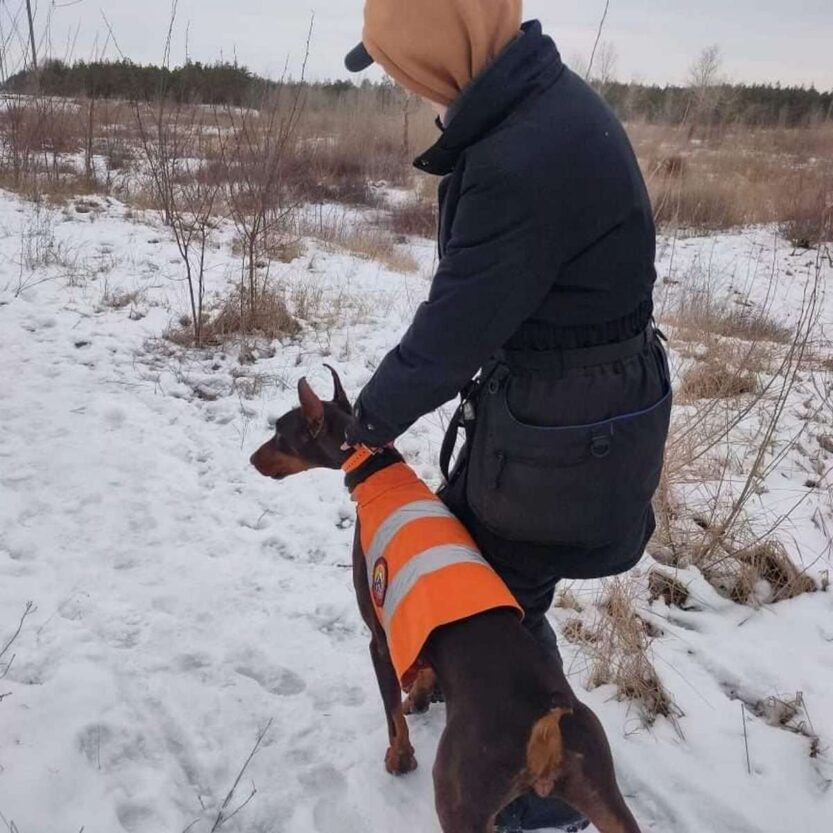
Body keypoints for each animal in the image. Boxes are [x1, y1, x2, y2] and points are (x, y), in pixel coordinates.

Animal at [250, 370, 640, 832]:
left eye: (279, 433)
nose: (252, 459)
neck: (378, 473)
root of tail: (546, 727)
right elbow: (424, 673)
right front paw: (419, 699)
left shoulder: (380, 637)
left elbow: (392, 715)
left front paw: (399, 758)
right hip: (602, 788)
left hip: (460, 796)